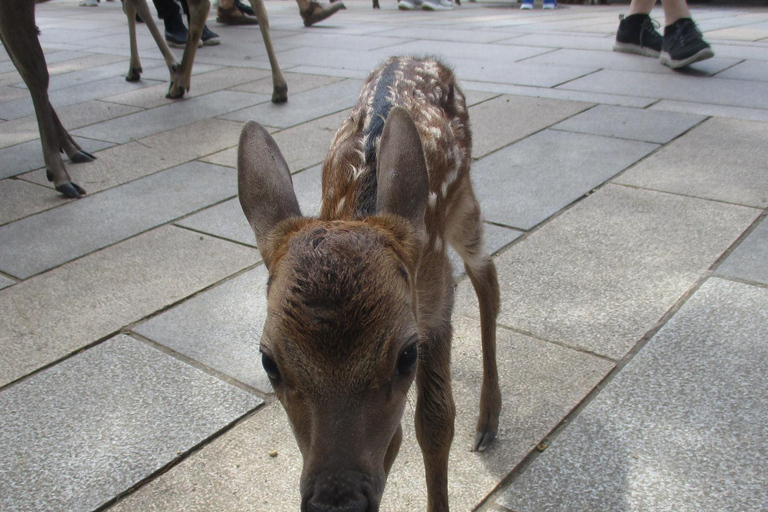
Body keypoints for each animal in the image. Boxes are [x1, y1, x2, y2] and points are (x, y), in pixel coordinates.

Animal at [240, 57, 504, 512]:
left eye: (407, 355)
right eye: (268, 362)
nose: (337, 500)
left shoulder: (436, 302)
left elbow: (436, 422)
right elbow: (391, 441)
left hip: (464, 201)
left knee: (486, 273)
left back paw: (487, 421)